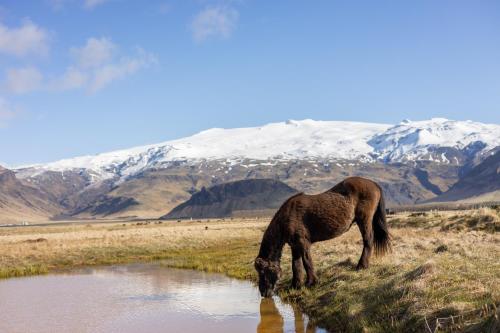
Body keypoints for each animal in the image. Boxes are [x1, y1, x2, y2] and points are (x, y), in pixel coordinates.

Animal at [254, 176, 390, 296]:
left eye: (262, 272)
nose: (263, 293)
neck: (287, 217)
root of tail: (373, 183)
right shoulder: (295, 246)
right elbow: (296, 265)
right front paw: (295, 285)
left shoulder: (303, 243)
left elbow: (307, 261)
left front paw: (312, 283)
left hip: (364, 220)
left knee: (368, 241)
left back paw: (362, 266)